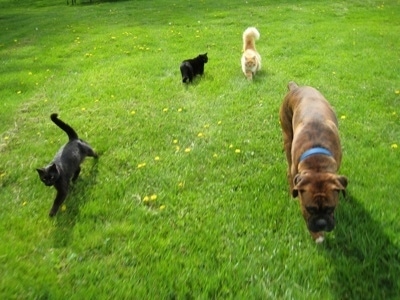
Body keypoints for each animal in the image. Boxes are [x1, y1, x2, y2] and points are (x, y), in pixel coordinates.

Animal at [278, 82, 346, 244]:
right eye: (310, 209)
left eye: (331, 208)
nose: (321, 223)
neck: (317, 163)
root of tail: (296, 88)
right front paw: (317, 236)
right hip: (287, 138)